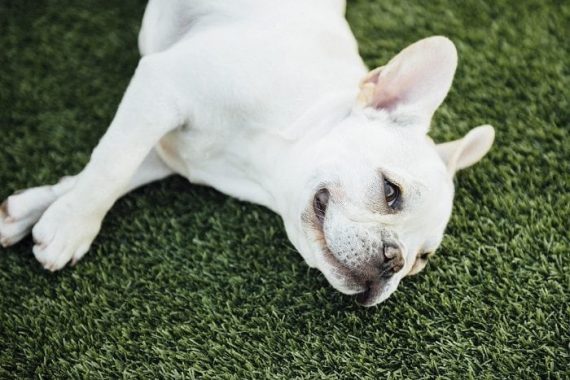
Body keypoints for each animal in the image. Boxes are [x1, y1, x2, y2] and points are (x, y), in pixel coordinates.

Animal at [0, 0, 492, 306]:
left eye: (421, 261)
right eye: (392, 192)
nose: (394, 259)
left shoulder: (164, 149)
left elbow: (106, 169)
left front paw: (33, 213)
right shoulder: (162, 85)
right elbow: (111, 166)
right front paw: (71, 227)